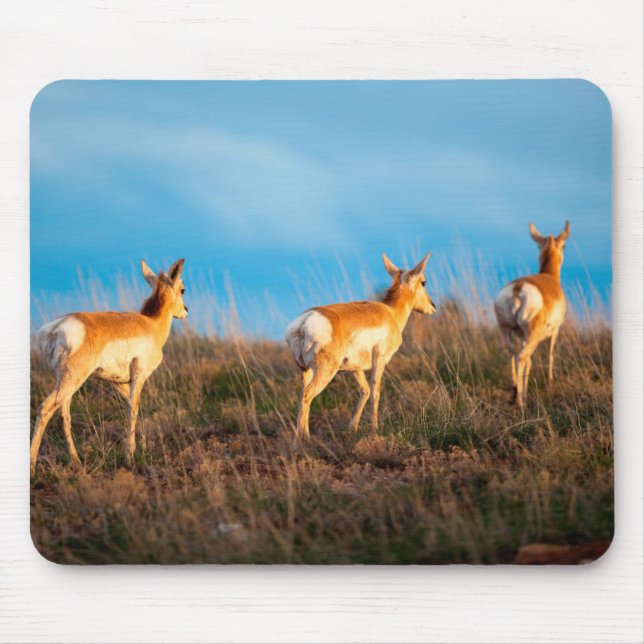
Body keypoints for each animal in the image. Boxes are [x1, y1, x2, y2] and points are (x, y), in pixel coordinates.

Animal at [30, 259, 188, 472]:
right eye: (182, 289)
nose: (185, 311)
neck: (151, 323)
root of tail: (54, 328)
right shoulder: (138, 377)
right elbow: (133, 410)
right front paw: (130, 457)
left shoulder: (119, 383)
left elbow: (132, 407)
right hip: (71, 380)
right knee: (45, 408)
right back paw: (32, 466)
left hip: (65, 383)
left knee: (64, 414)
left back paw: (77, 462)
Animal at [285, 252, 436, 438]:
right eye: (424, 282)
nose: (433, 306)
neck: (390, 312)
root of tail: (304, 322)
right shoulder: (380, 360)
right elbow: (375, 391)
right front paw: (375, 429)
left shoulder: (356, 368)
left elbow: (365, 391)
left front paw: (353, 427)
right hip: (325, 371)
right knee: (307, 394)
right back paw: (304, 439)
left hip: (305, 370)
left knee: (302, 394)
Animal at [494, 221, 570, 407]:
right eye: (564, 245)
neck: (549, 276)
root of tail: (518, 288)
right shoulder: (555, 331)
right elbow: (550, 354)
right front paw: (550, 384)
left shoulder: (522, 337)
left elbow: (529, 363)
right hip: (533, 335)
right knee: (521, 357)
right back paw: (520, 401)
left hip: (507, 332)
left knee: (512, 354)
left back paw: (515, 392)